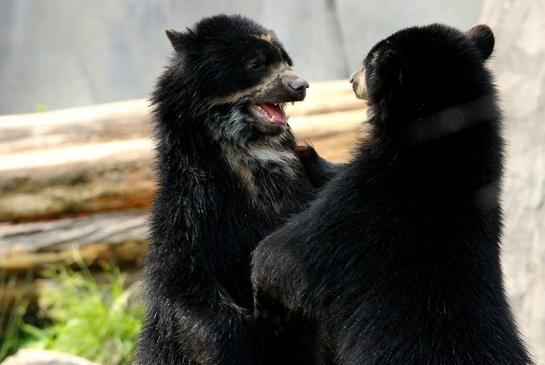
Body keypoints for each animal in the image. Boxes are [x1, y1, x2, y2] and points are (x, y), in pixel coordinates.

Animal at [251, 24, 532, 362]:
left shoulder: (365, 209)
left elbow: (287, 255)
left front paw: (266, 303)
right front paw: (306, 153)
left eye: (369, 63)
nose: (352, 79)